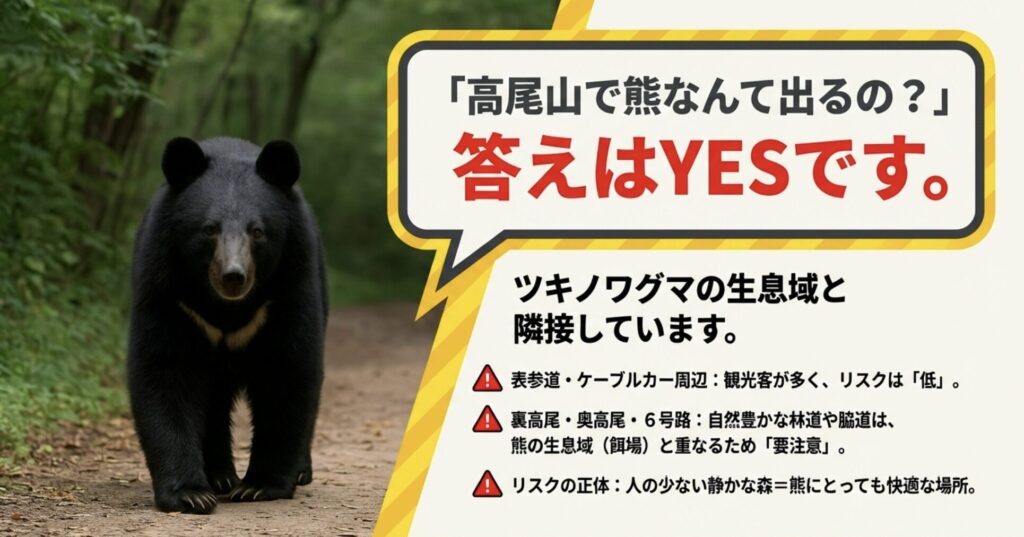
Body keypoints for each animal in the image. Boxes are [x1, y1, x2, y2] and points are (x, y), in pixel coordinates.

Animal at [127, 136, 327, 514]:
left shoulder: (288, 290)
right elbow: (165, 371)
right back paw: (219, 476)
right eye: (209, 229)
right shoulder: (168, 293)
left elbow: (286, 371)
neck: (225, 308)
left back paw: (299, 471)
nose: (233, 276)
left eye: (258, 231)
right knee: (213, 403)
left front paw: (260, 485)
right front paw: (190, 493)